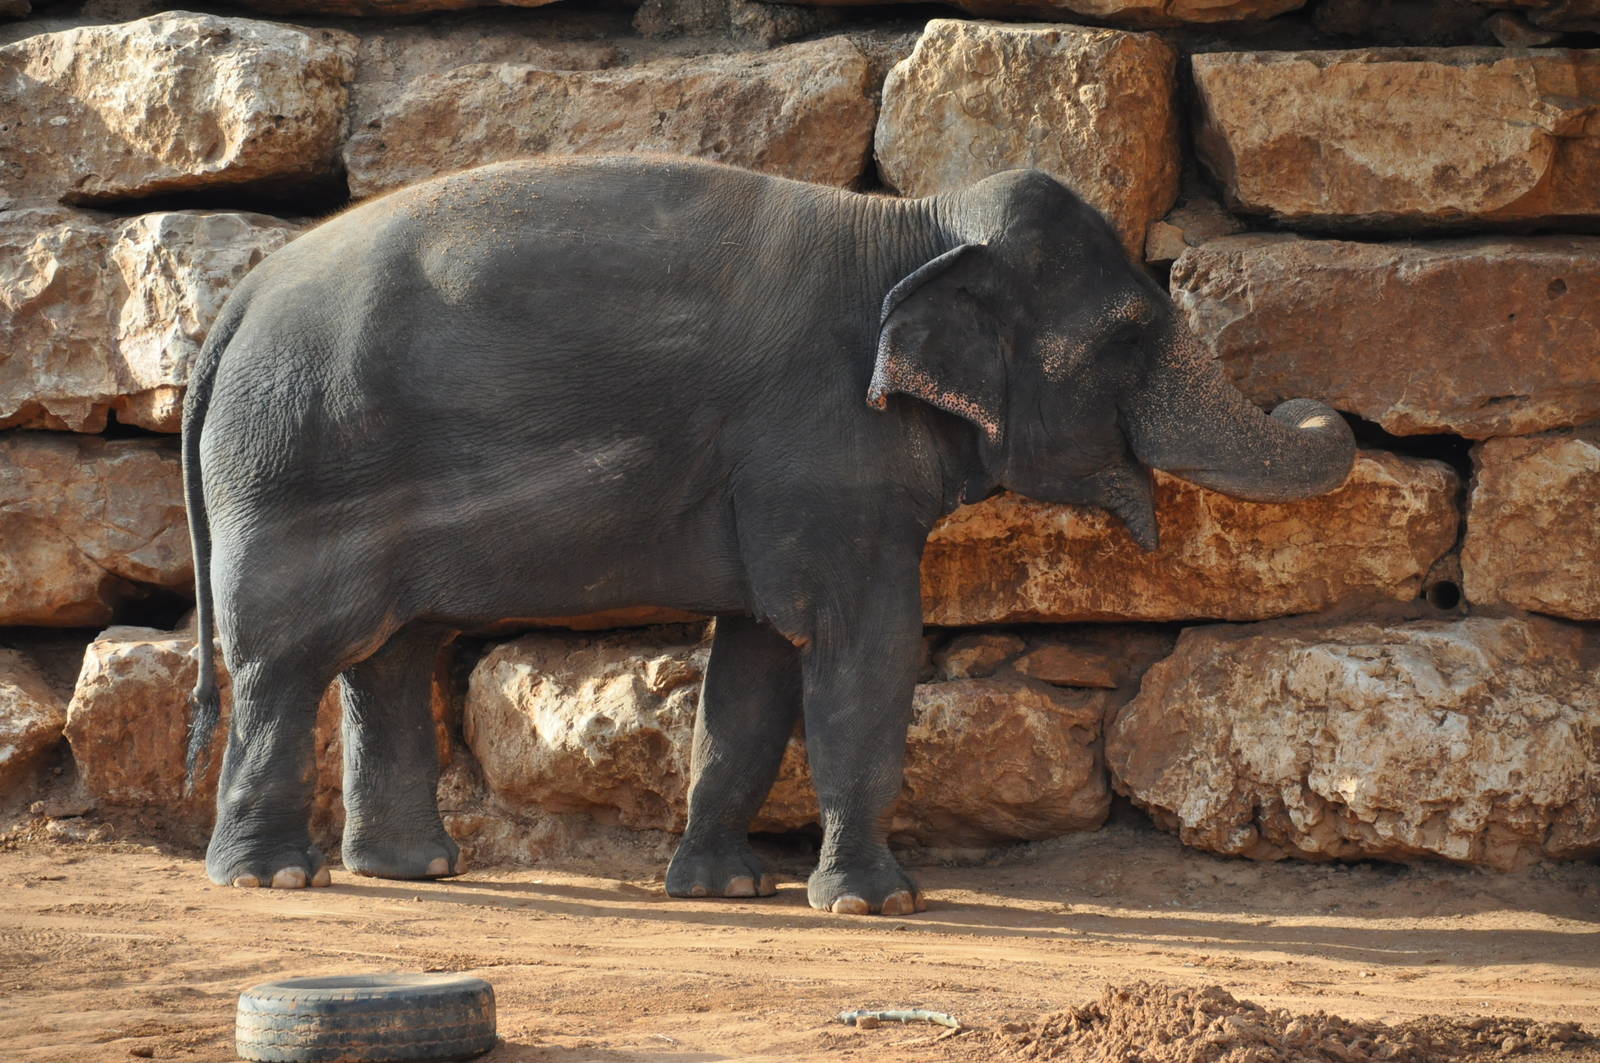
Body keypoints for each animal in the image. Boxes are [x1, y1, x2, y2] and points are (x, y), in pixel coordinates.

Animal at [182, 154, 1355, 915]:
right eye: (1129, 332)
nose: (1322, 403)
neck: (915, 226)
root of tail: (235, 303)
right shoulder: (821, 447)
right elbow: (862, 646)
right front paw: (875, 906)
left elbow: (753, 668)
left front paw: (728, 888)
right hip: (291, 463)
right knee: (288, 658)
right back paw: (275, 878)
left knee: (389, 654)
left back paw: (410, 870)